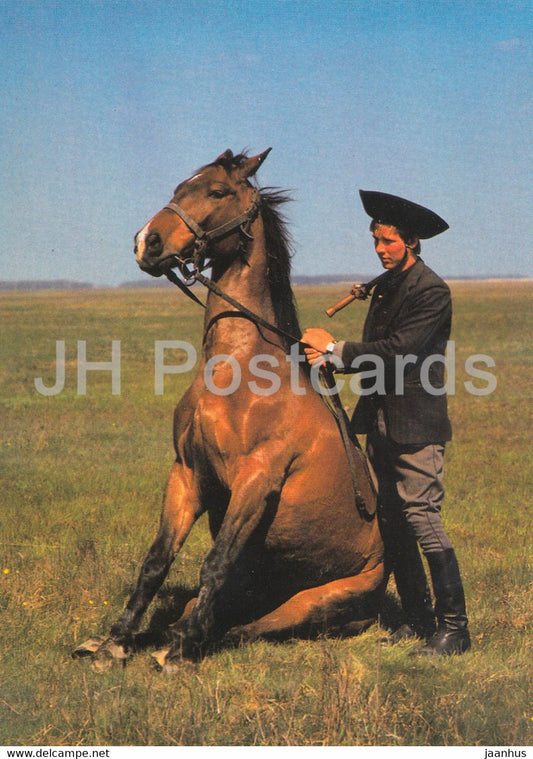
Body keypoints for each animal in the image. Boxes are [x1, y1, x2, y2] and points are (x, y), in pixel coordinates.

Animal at [74, 148, 384, 671]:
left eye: (216, 191)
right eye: (180, 188)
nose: (145, 242)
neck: (238, 372)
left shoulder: (256, 481)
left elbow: (213, 564)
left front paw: (177, 652)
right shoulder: (188, 474)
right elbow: (156, 561)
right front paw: (115, 641)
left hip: (312, 602)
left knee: (249, 626)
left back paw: (189, 639)